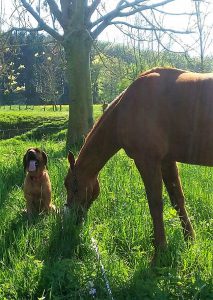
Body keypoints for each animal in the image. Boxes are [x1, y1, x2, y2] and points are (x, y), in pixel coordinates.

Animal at [64, 67, 213, 253]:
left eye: (73, 186)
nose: (72, 220)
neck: (125, 108)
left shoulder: (147, 161)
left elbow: (155, 204)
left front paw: (160, 249)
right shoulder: (167, 161)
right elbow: (177, 200)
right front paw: (190, 240)